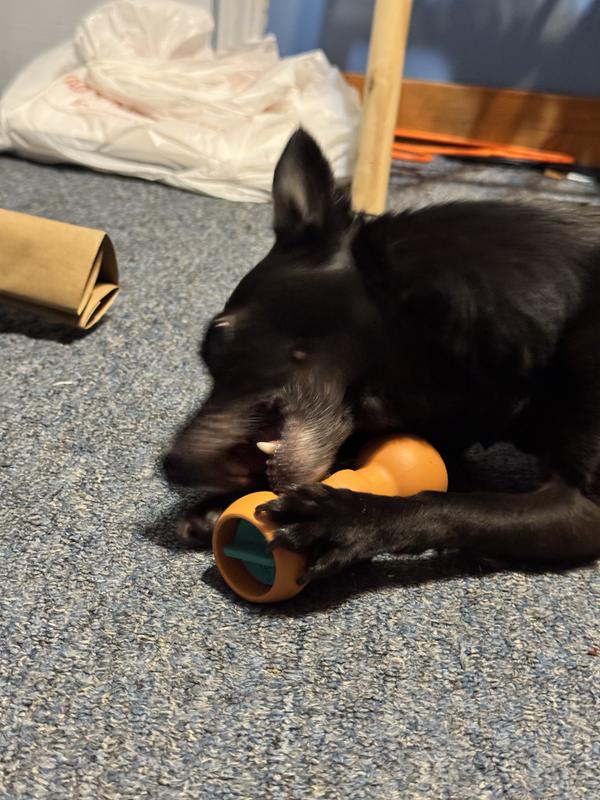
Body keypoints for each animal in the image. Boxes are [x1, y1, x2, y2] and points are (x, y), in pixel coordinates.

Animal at [163, 129, 600, 584]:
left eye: (216, 337)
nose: (168, 465)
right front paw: (218, 505)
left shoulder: (583, 504)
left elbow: (456, 504)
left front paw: (343, 521)